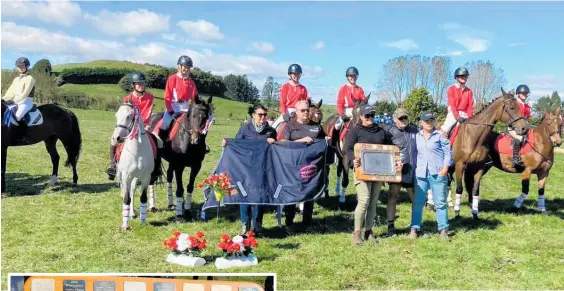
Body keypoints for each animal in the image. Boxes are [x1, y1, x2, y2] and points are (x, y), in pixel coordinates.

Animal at [442, 88, 532, 220]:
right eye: (511, 107)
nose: (525, 129)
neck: (473, 136)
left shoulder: (478, 167)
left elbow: (475, 190)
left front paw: (475, 213)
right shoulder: (459, 165)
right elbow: (459, 189)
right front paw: (457, 213)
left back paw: (449, 203)